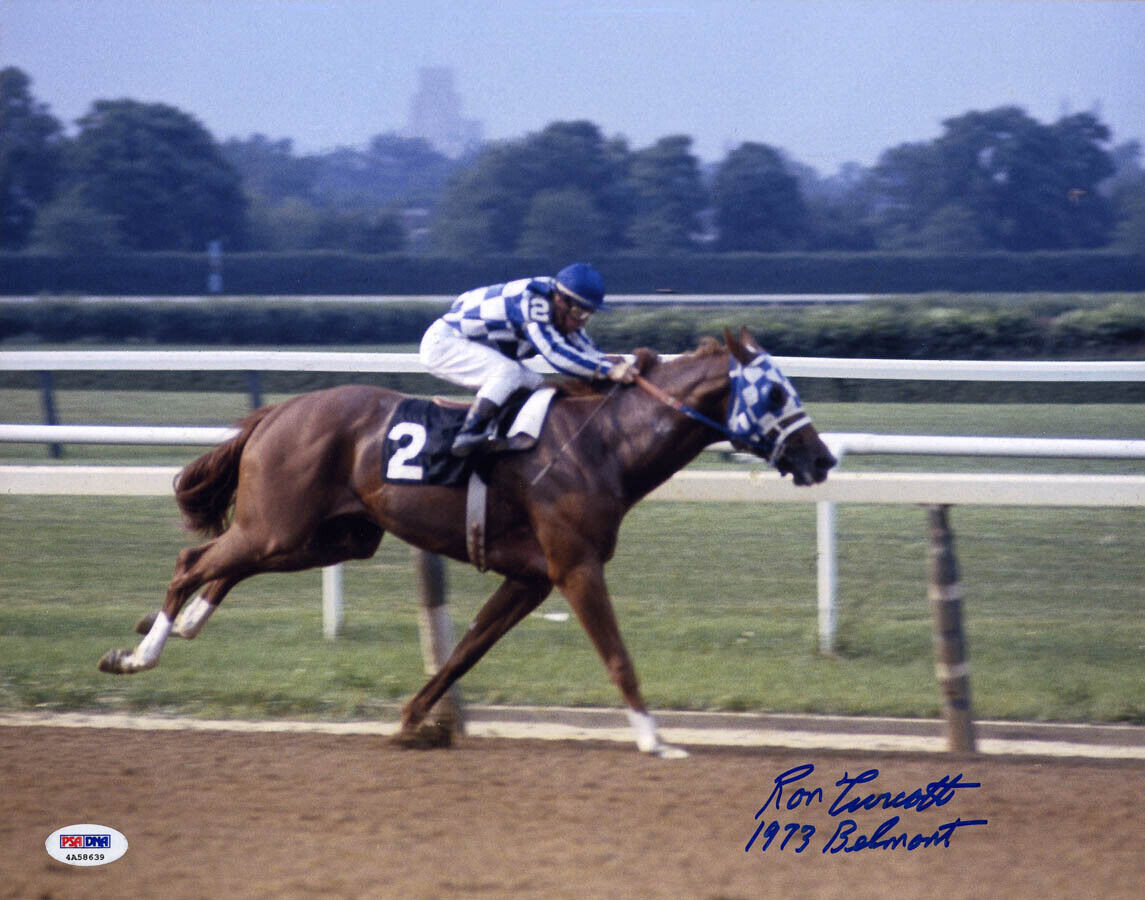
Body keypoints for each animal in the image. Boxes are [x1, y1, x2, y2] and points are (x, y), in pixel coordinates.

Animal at [100, 325, 833, 755]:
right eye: (774, 393)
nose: (821, 458)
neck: (603, 442)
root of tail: (277, 410)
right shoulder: (574, 567)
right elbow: (617, 655)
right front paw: (655, 740)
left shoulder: (530, 577)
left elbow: (465, 652)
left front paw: (412, 721)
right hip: (281, 525)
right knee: (193, 558)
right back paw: (138, 655)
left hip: (326, 536)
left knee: (224, 564)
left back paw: (185, 623)